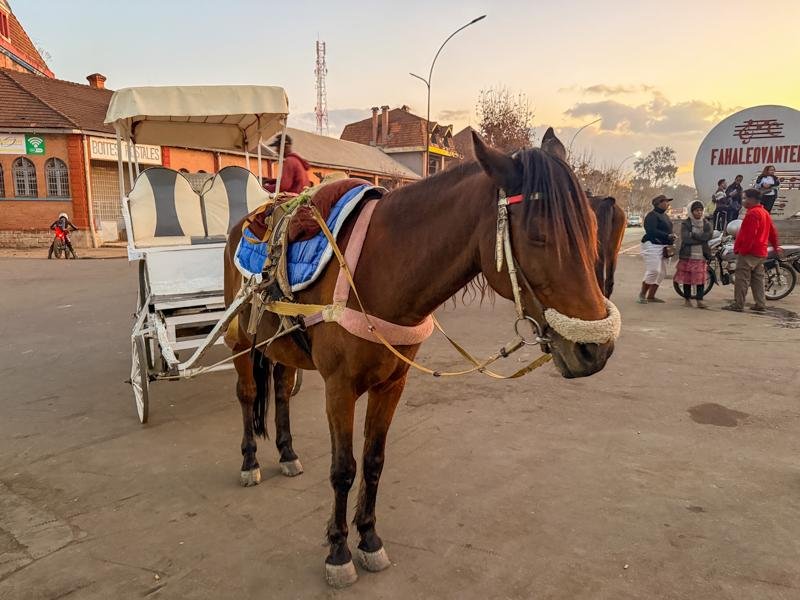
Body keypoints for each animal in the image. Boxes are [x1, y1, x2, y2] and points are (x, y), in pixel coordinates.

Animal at [223, 128, 618, 587]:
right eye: (539, 236)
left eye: (592, 228)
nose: (596, 349)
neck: (378, 269)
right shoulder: (339, 387)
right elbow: (343, 469)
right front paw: (338, 552)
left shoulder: (393, 383)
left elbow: (373, 461)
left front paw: (369, 540)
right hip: (238, 343)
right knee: (249, 394)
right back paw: (249, 461)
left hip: (282, 346)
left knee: (283, 392)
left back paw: (287, 454)